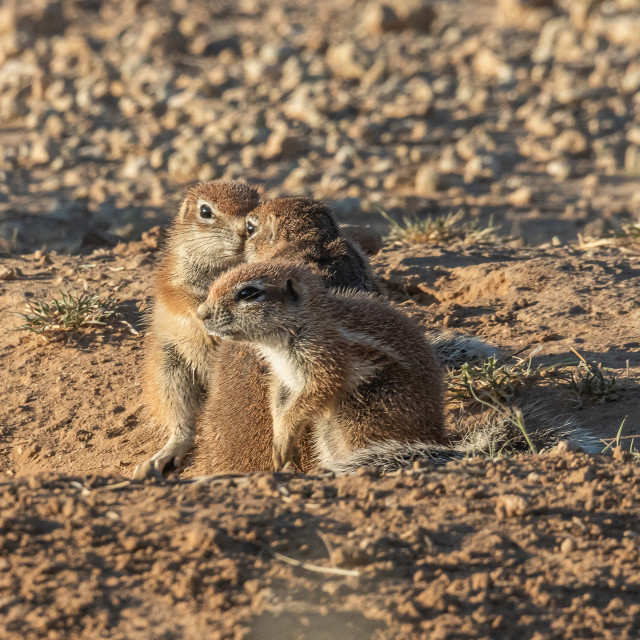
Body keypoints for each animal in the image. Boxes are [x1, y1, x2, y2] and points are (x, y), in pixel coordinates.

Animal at [134, 178, 258, 478]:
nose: (244, 230)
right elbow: (181, 299)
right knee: (183, 425)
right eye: (205, 211)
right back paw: (161, 457)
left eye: (257, 205)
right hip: (167, 372)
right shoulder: (172, 278)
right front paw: (205, 328)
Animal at [196, 258, 444, 472]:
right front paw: (281, 441)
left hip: (366, 416)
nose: (201, 314)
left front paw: (285, 438)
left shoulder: (325, 357)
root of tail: (438, 430)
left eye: (247, 293)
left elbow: (315, 392)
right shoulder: (283, 376)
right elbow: (279, 402)